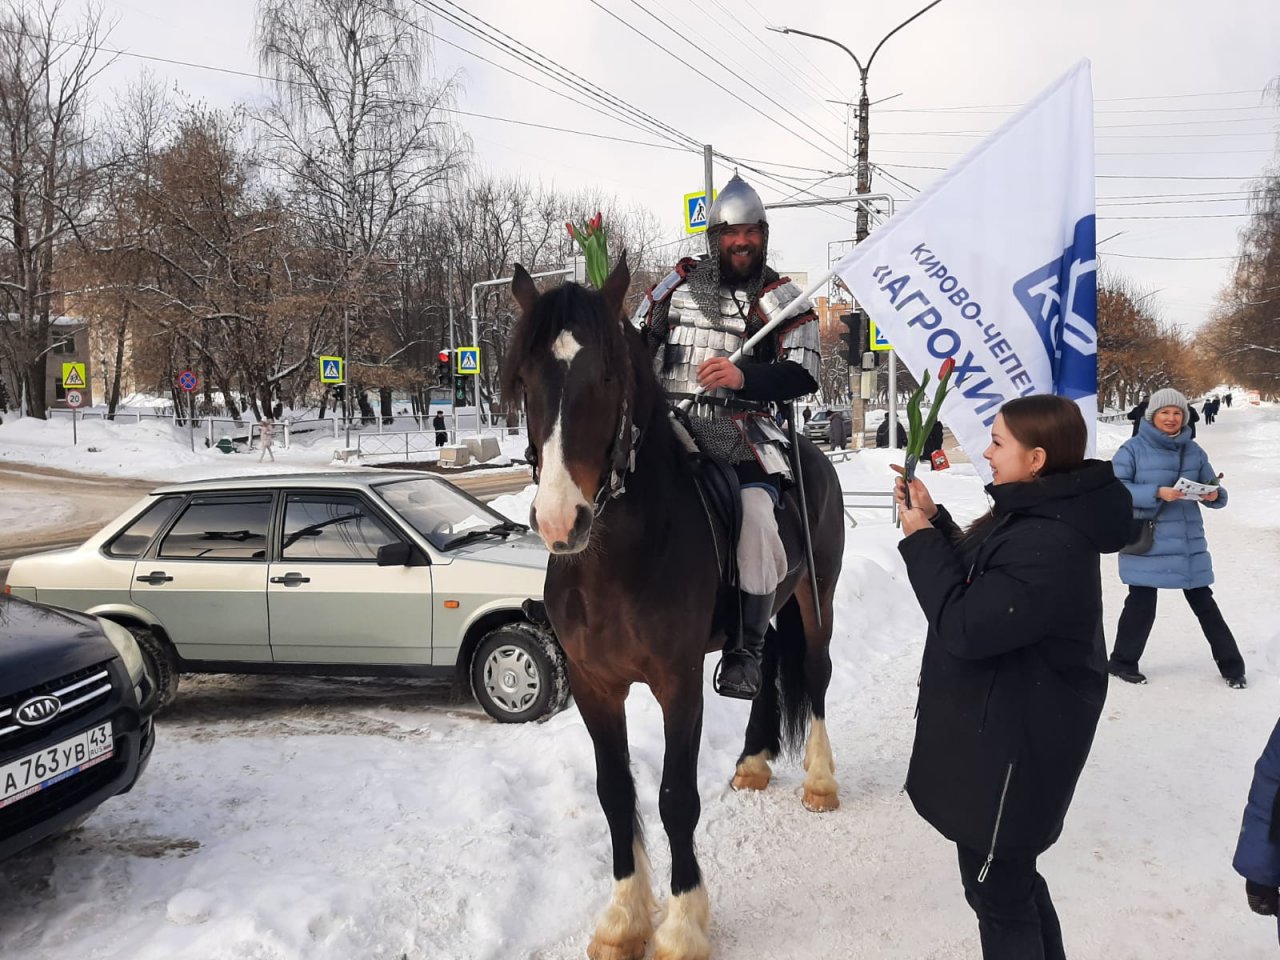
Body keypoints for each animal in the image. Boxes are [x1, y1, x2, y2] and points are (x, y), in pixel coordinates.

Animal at [501, 256, 849, 960]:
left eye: (606, 375)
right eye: (525, 379)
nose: (559, 520)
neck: (617, 561)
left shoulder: (677, 683)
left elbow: (675, 798)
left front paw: (683, 924)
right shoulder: (594, 686)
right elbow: (614, 794)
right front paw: (622, 918)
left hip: (816, 591)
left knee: (816, 673)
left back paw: (820, 782)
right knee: (765, 664)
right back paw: (753, 762)